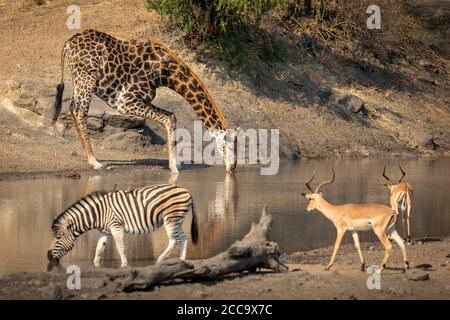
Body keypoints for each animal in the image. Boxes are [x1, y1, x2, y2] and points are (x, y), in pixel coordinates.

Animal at [47, 184, 199, 272]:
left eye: (58, 237)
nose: (48, 257)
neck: (98, 214)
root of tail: (186, 190)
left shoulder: (116, 227)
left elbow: (120, 247)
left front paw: (124, 265)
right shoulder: (104, 232)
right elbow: (98, 249)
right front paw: (95, 265)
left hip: (170, 219)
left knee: (174, 240)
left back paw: (159, 261)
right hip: (178, 220)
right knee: (183, 238)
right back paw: (181, 261)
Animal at [51, 30, 241, 174]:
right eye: (231, 144)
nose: (233, 167)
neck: (167, 74)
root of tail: (69, 43)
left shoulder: (142, 100)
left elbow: (171, 116)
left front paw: (177, 164)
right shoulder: (125, 102)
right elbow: (168, 118)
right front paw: (174, 169)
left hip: (79, 80)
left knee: (72, 108)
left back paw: (88, 156)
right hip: (87, 79)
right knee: (79, 111)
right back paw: (94, 161)